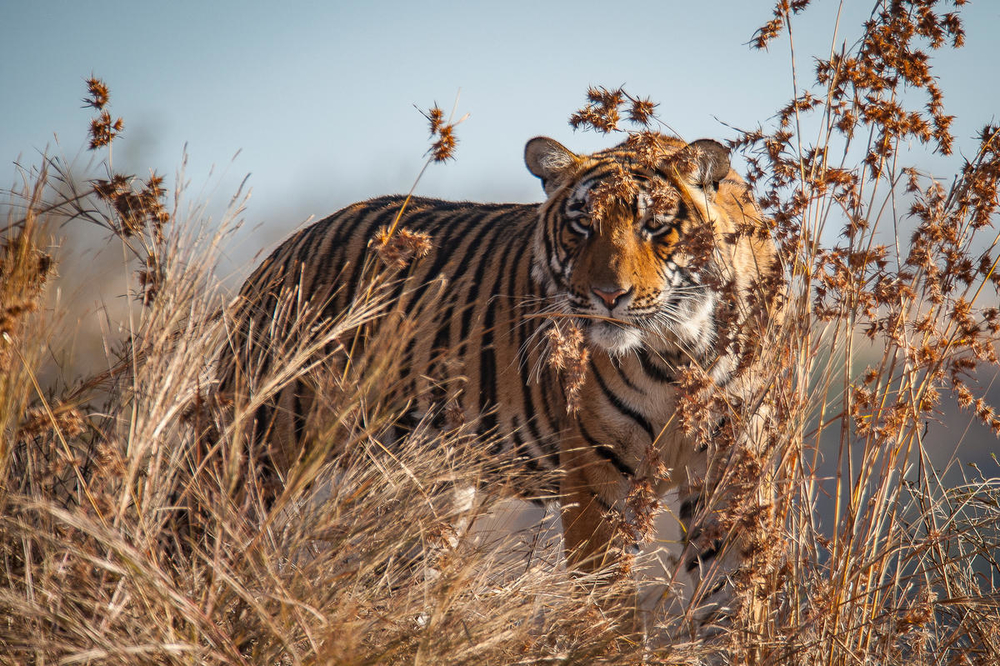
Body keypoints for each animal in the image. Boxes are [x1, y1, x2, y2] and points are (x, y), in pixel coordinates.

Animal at [219, 128, 780, 640]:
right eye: (582, 225)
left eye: (655, 227)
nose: (607, 295)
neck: (680, 350)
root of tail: (287, 247)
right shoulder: (597, 474)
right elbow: (609, 607)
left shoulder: (734, 467)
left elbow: (735, 595)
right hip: (259, 452)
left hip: (427, 483)